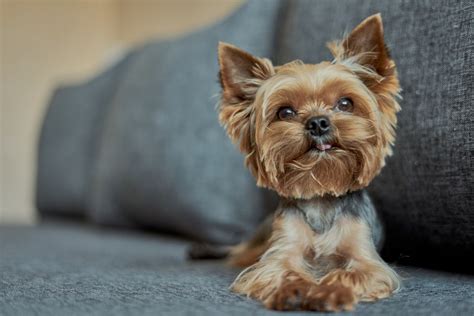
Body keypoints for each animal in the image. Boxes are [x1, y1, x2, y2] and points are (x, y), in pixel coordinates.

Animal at [191, 14, 402, 312]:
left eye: (345, 104)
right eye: (285, 112)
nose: (317, 122)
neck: (321, 199)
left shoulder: (368, 260)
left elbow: (351, 273)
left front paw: (330, 291)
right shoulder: (280, 252)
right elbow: (280, 268)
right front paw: (294, 289)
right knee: (239, 252)